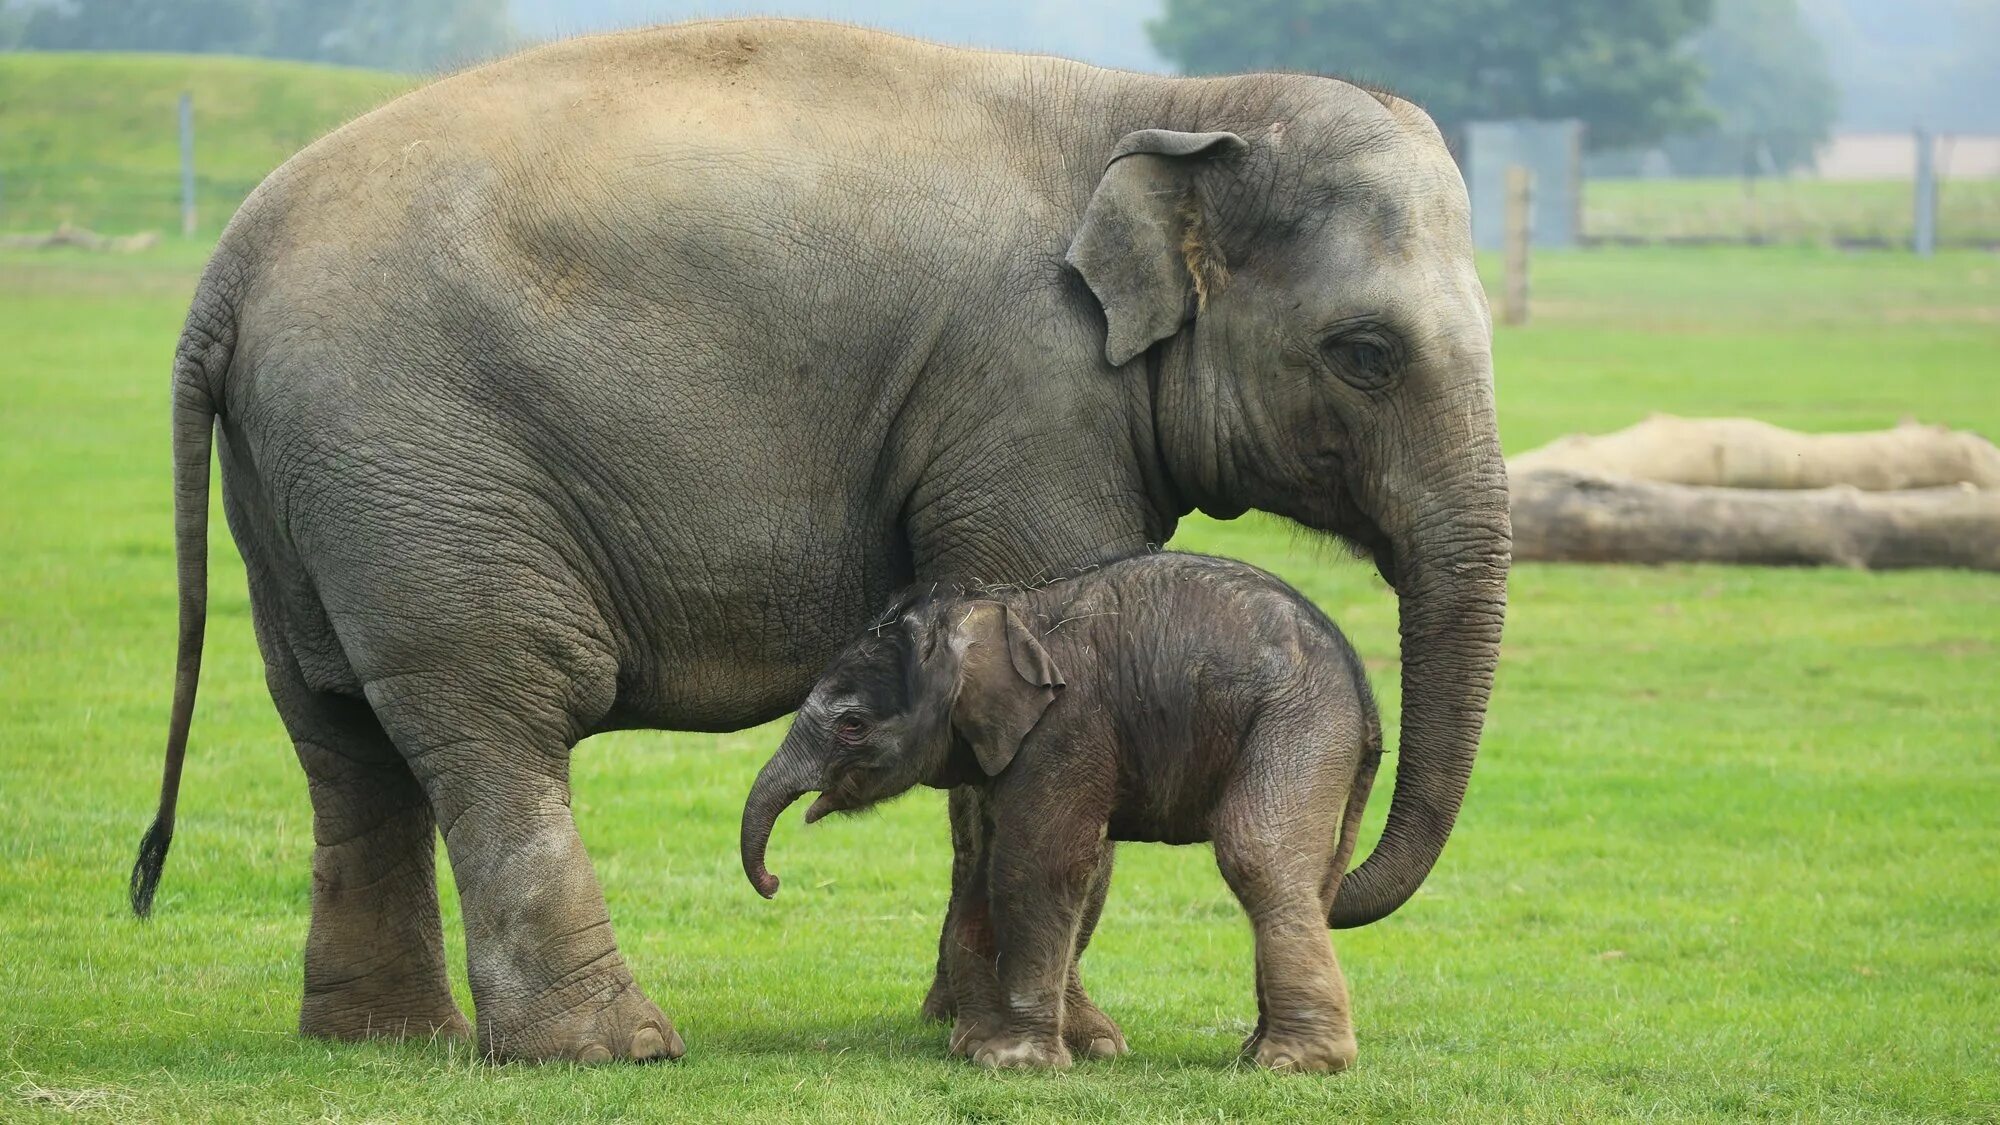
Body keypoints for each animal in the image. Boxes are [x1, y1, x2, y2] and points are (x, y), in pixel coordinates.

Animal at [744, 552, 1384, 1064]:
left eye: (853, 725)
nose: (774, 882)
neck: (994, 614)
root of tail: (1363, 689)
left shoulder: (1065, 730)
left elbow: (1036, 865)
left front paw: (1016, 1063)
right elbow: (986, 871)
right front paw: (974, 1048)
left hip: (1298, 723)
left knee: (1256, 854)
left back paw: (1294, 1063)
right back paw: (1260, 1052)